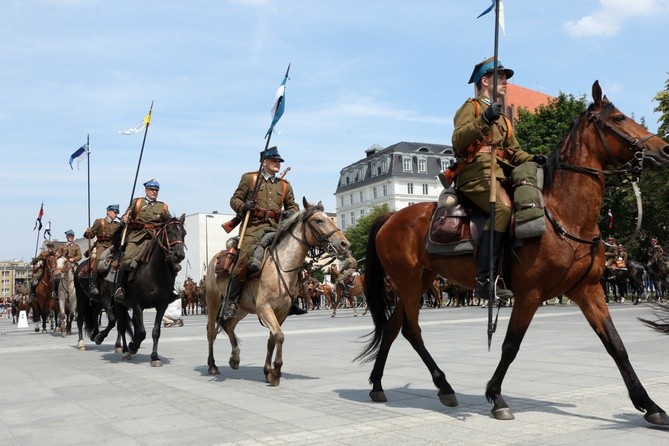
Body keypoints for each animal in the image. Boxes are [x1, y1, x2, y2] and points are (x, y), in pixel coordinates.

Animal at [113, 215, 184, 366]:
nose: (179, 255)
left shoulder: (162, 305)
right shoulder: (138, 305)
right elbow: (141, 332)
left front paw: (155, 357)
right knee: (122, 327)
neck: (155, 271)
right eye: (169, 231)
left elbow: (155, 331)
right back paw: (126, 351)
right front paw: (133, 346)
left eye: (184, 233)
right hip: (119, 304)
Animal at [205, 199, 350, 386]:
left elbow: (272, 339)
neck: (282, 266)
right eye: (319, 220)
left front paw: (268, 371)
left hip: (242, 307)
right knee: (211, 331)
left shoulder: (281, 311)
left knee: (228, 325)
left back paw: (235, 358)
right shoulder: (264, 308)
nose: (344, 244)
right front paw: (277, 371)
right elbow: (279, 336)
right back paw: (212, 365)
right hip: (214, 302)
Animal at [358, 80, 668, 426]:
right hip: (409, 282)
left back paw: (380, 384)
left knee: (393, 328)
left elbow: (616, 345)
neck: (564, 216)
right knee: (412, 330)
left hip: (419, 282)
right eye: (618, 118)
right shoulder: (530, 294)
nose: (663, 150)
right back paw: (442, 385)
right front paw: (496, 397)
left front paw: (650, 405)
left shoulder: (589, 291)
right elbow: (510, 345)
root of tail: (390, 217)